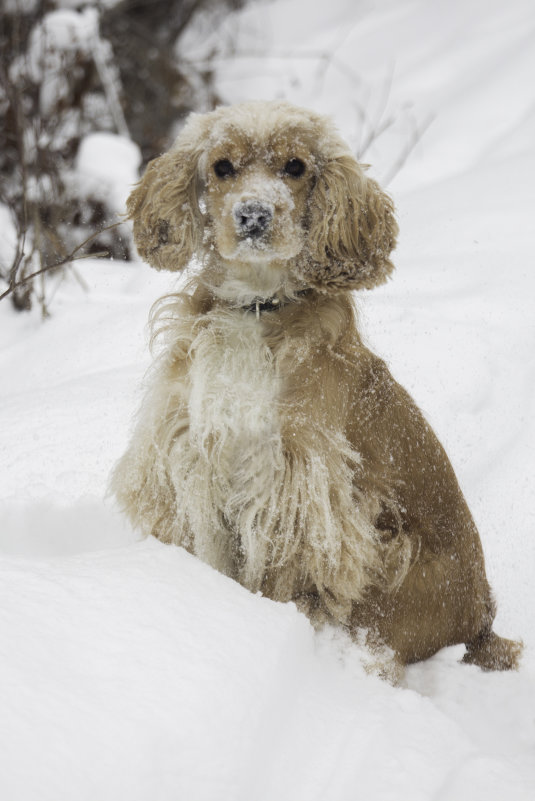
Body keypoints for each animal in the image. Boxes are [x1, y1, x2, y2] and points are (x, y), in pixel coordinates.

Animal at [111, 100, 520, 676]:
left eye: (296, 167)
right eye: (222, 166)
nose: (253, 215)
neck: (257, 308)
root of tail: (485, 619)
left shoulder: (295, 482)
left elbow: (278, 577)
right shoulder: (194, 455)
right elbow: (212, 554)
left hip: (396, 562)